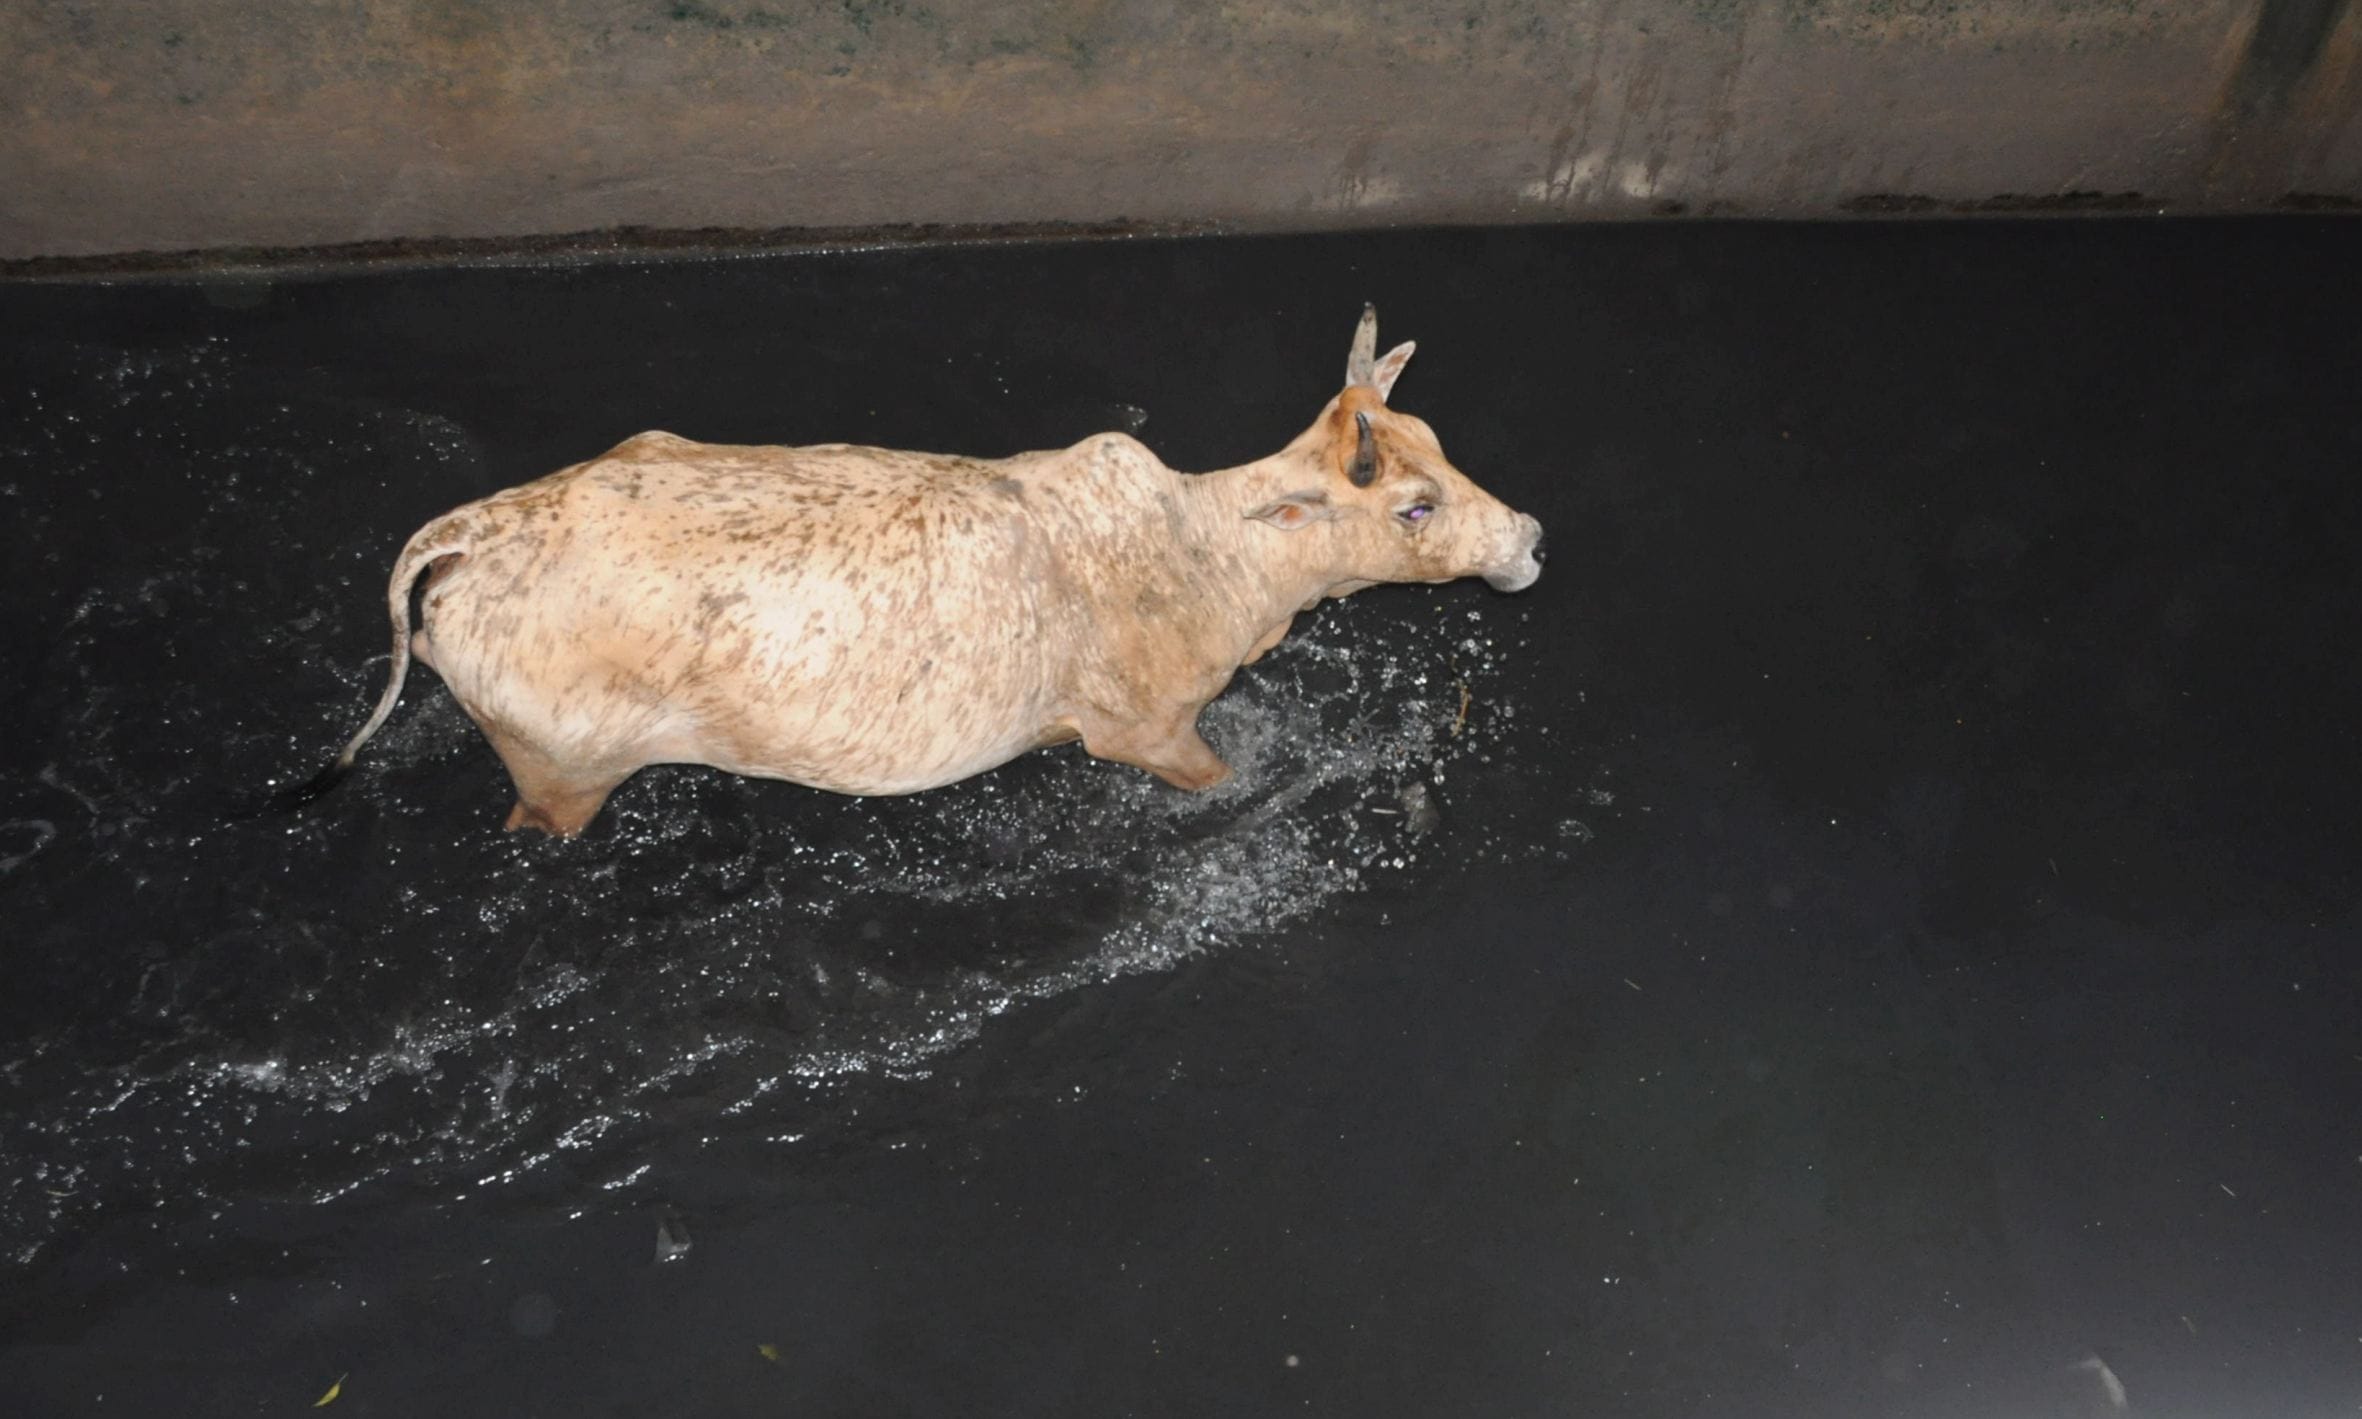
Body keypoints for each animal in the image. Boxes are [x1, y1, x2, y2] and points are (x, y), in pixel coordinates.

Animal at [288, 306, 1544, 836]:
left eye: (1433, 439)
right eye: (1414, 503)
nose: (1530, 537)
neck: (1207, 553)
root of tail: (474, 528)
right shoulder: (1147, 734)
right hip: (559, 774)